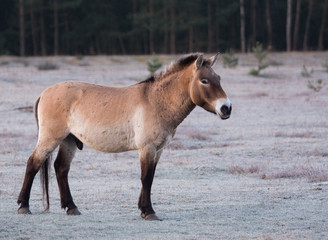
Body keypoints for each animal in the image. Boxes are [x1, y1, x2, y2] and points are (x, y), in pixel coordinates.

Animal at [17, 53, 231, 220]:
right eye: (204, 80)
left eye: (219, 78)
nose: (226, 108)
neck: (157, 101)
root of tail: (44, 93)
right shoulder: (147, 149)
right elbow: (146, 178)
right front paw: (149, 212)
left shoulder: (158, 150)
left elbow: (150, 177)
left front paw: (144, 209)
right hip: (50, 139)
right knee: (33, 163)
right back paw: (23, 206)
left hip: (68, 141)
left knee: (61, 168)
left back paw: (72, 208)